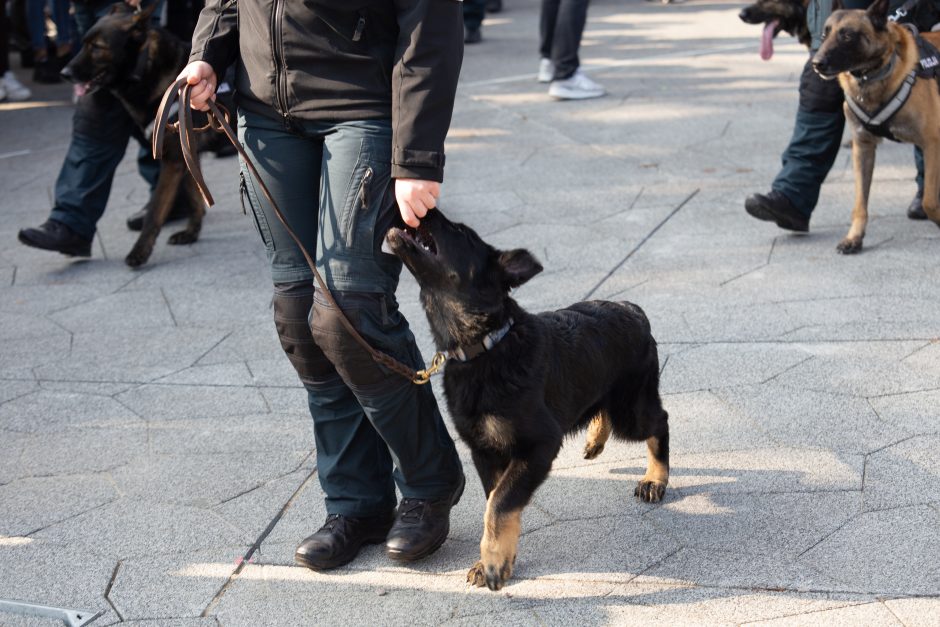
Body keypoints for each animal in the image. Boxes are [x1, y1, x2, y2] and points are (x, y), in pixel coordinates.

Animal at [386, 212, 672, 592]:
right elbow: (497, 501)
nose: (417, 210)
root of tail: (633, 308)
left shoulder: (539, 445)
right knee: (604, 410)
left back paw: (655, 479)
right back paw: (595, 441)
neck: (487, 345)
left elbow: (499, 504)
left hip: (631, 410)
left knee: (660, 420)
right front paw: (492, 560)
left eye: (459, 231)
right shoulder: (485, 451)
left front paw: (493, 563)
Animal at [812, 0, 940, 255]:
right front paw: (854, 237)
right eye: (825, 33)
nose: (816, 63)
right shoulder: (863, 147)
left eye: (847, 36)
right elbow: (860, 202)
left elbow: (930, 200)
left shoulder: (933, 144)